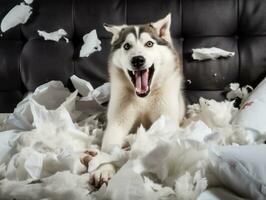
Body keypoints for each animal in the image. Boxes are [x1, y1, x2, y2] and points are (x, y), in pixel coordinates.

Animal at [82, 13, 185, 188]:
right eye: (126, 46)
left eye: (149, 44)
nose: (138, 60)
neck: (143, 98)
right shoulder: (117, 124)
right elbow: (110, 148)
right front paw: (104, 168)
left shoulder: (166, 123)